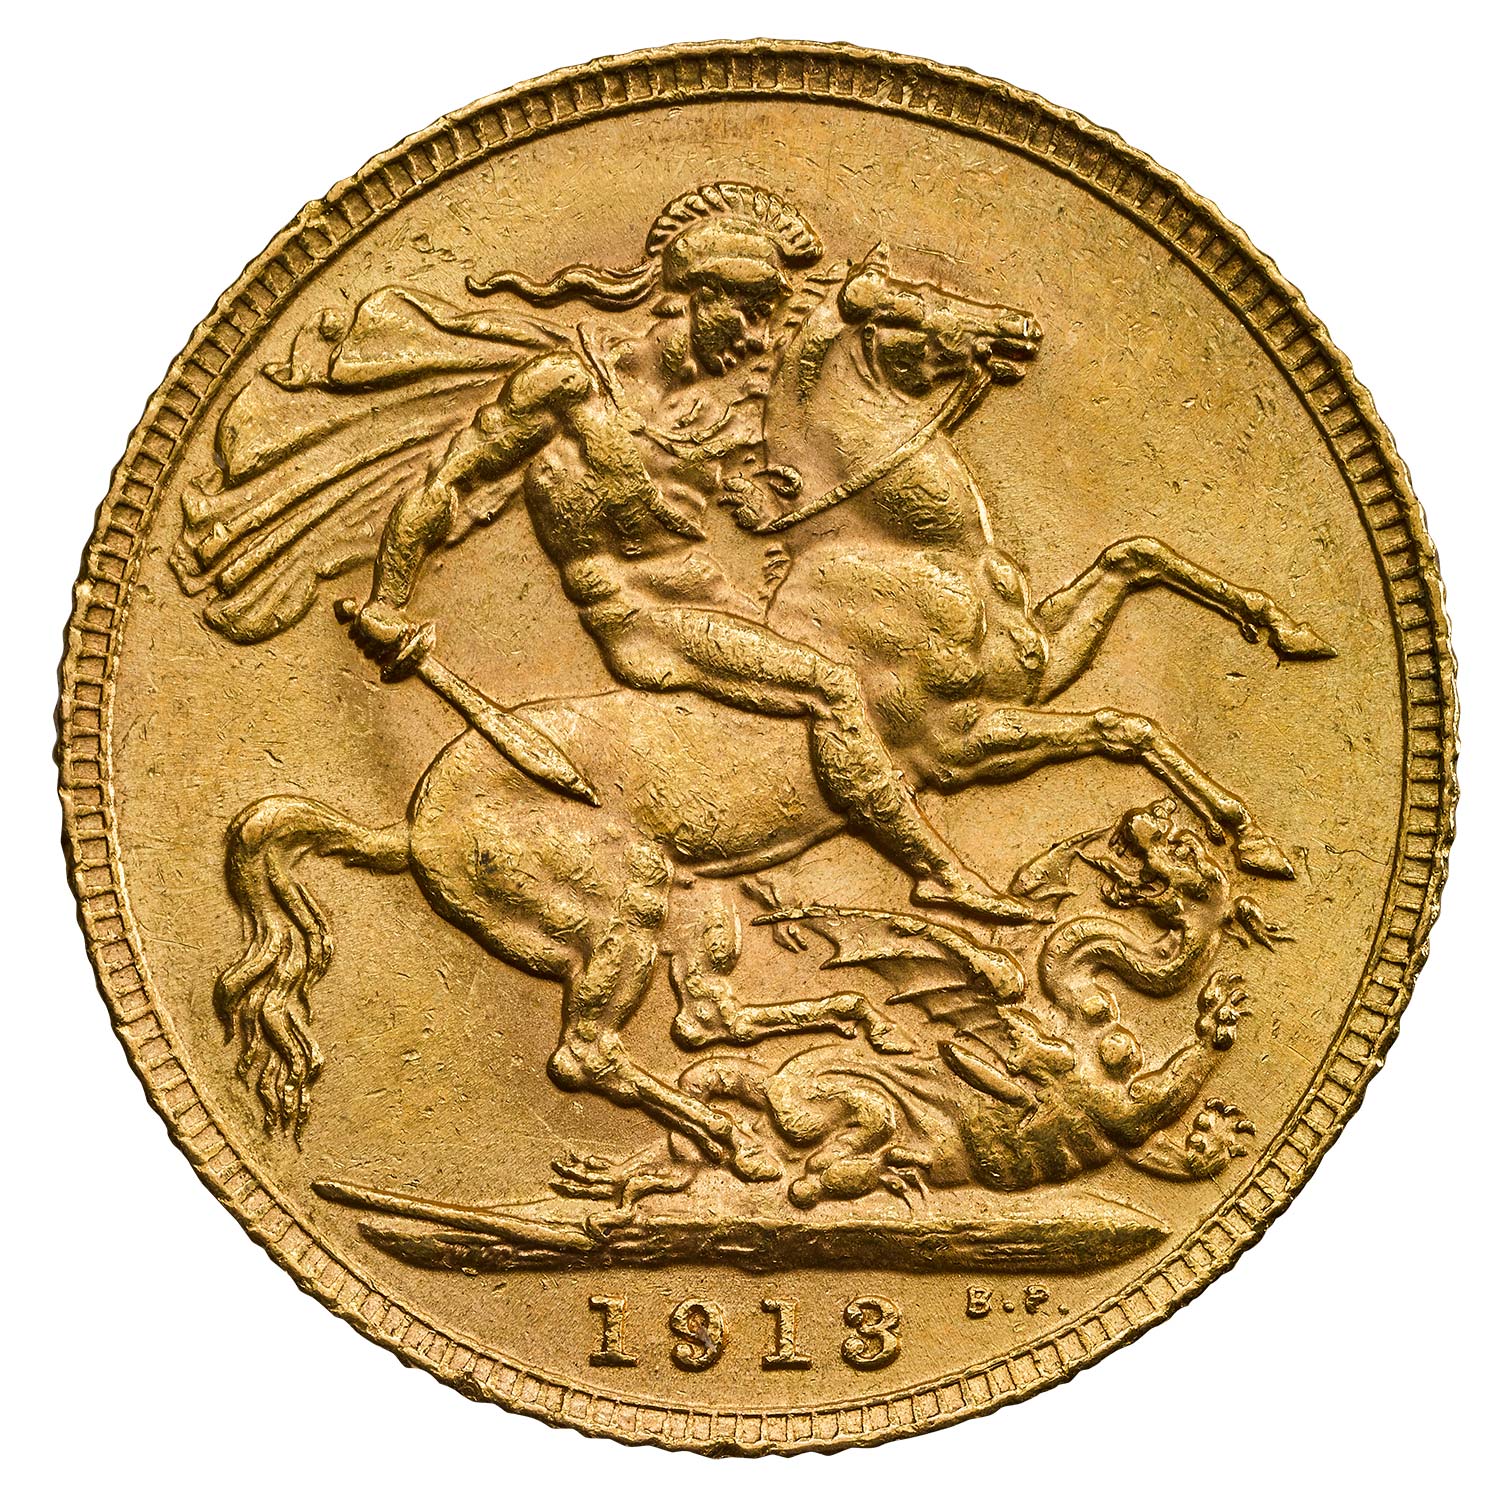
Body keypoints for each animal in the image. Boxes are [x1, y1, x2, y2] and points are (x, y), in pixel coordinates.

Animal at [215, 250, 1331, 1182]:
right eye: (908, 301)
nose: (1018, 329)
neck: (891, 543)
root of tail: (408, 825)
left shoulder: (1036, 667)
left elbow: (1138, 565)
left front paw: (1281, 651)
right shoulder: (963, 742)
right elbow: (1118, 730)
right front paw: (992, 899)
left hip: (693, 903)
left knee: (702, 1020)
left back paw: (832, 1042)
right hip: (619, 903)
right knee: (587, 1054)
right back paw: (744, 1131)